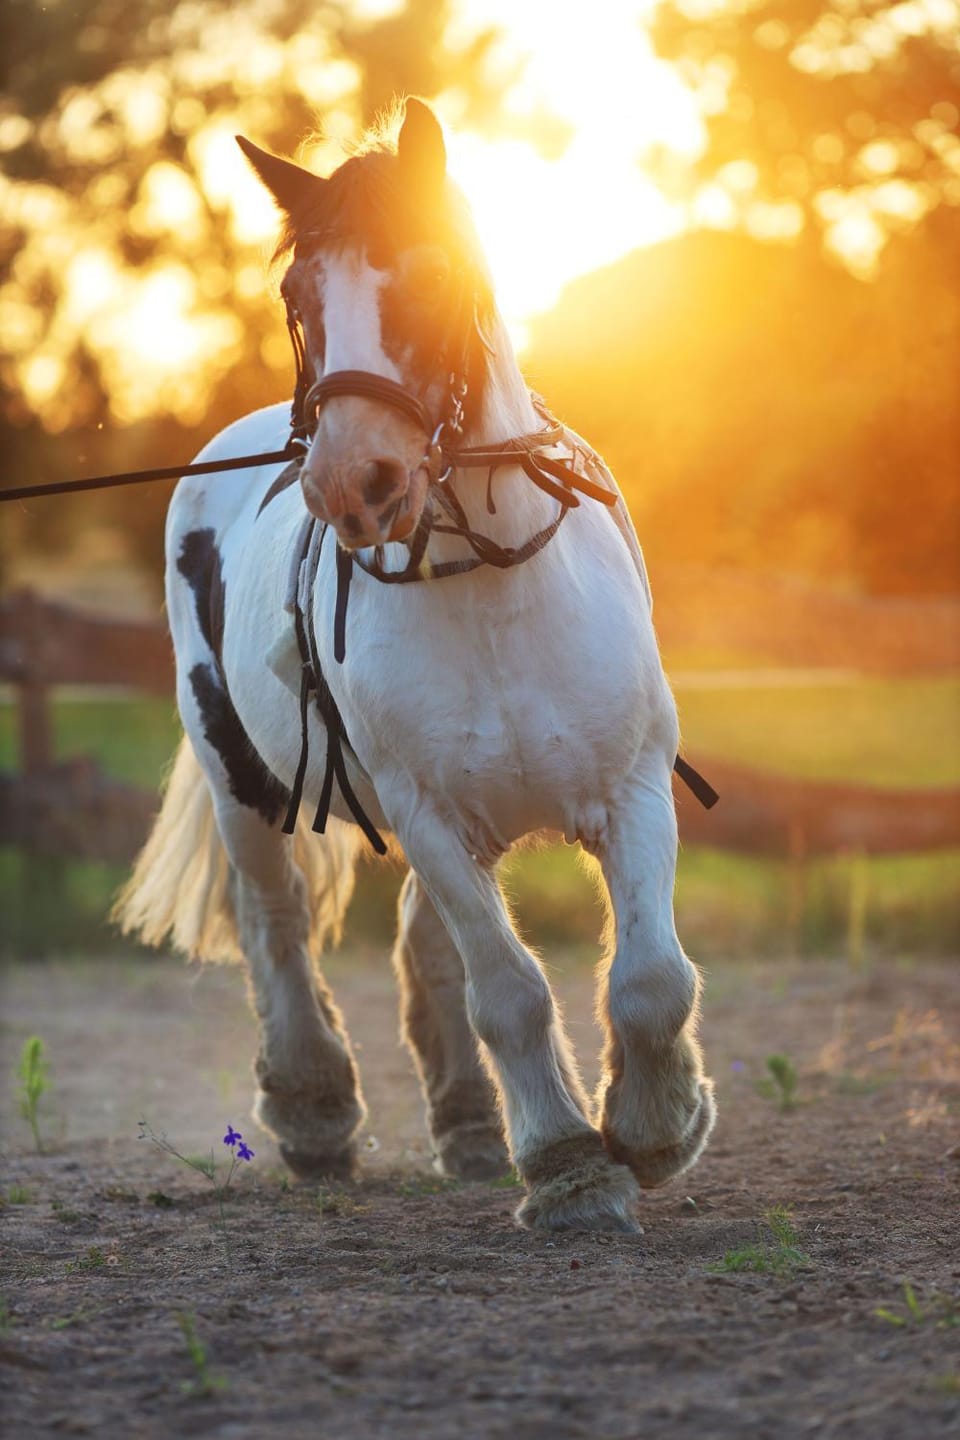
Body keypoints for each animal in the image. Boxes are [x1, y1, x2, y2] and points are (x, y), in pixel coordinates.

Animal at [116, 97, 716, 1232]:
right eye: (297, 297)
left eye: (430, 274)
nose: (355, 480)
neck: (492, 585)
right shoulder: (427, 811)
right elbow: (511, 992)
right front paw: (570, 1165)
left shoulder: (628, 788)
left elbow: (651, 979)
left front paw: (657, 1131)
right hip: (242, 783)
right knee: (277, 926)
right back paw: (315, 1113)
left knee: (421, 944)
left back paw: (474, 1130)